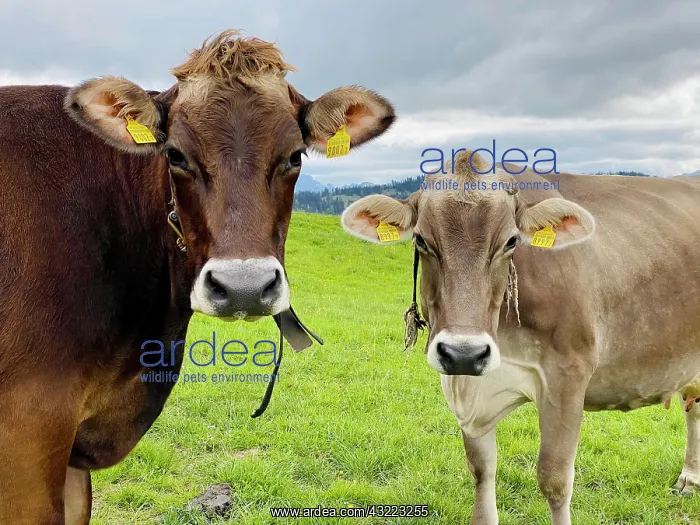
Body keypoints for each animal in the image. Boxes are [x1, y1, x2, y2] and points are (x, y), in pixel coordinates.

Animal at [341, 149, 700, 525]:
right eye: (421, 240)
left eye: (511, 241)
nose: (464, 352)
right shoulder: (468, 386)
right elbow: (481, 469)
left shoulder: (569, 373)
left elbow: (554, 480)